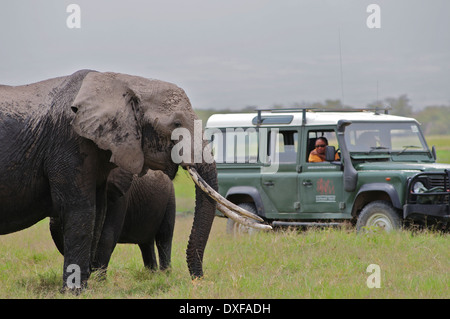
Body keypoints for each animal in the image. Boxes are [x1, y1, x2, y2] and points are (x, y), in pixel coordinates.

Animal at [0, 70, 264, 292]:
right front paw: (76, 291)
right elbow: (81, 212)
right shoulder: (68, 143)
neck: (123, 82)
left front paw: (88, 287)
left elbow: (97, 215)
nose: (199, 281)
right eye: (177, 125)